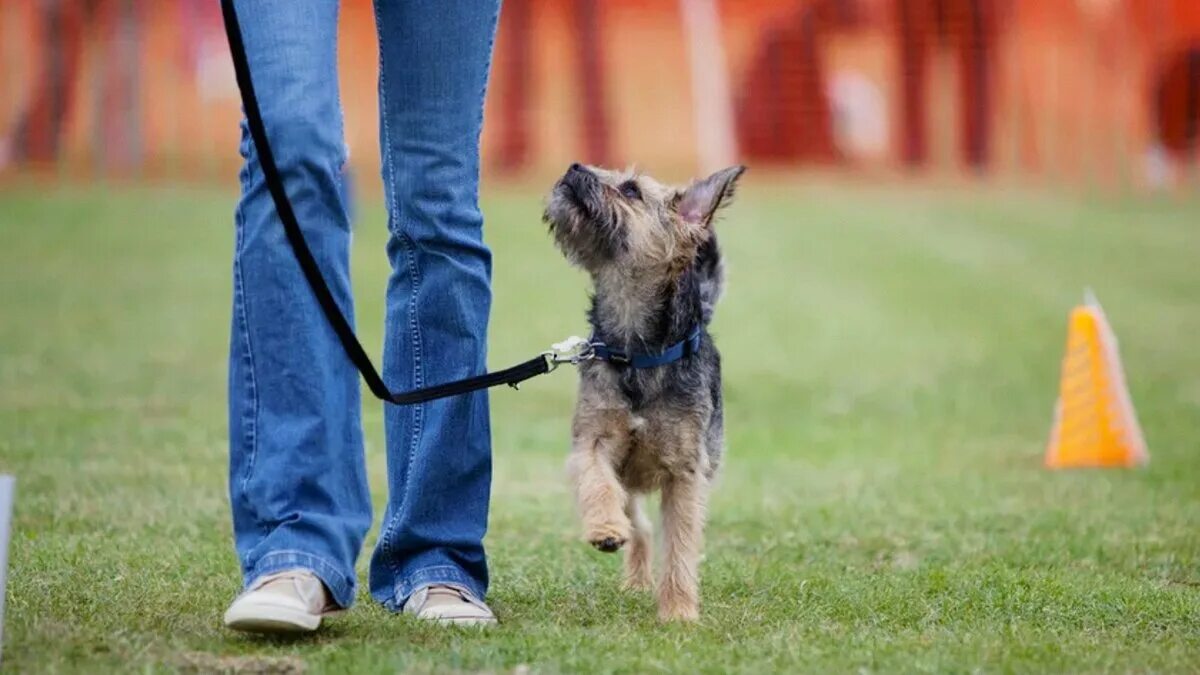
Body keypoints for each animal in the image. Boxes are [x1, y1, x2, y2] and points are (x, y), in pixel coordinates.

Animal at [542, 159, 739, 619]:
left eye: (631, 190)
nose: (574, 166)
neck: (635, 352)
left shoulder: (685, 473)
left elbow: (681, 547)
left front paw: (679, 613)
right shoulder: (594, 441)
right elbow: (597, 482)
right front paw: (604, 527)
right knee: (640, 524)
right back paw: (631, 572)